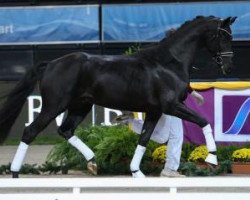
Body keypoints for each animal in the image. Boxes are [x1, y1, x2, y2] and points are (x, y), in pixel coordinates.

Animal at [0, 16, 236, 178]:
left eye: (230, 36)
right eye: (222, 36)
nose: (227, 66)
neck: (167, 63)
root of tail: (50, 64)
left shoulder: (155, 111)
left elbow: (143, 139)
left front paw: (136, 173)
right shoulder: (171, 106)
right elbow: (204, 121)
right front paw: (212, 158)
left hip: (80, 106)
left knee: (65, 130)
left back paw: (93, 162)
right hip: (54, 106)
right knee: (30, 131)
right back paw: (15, 173)